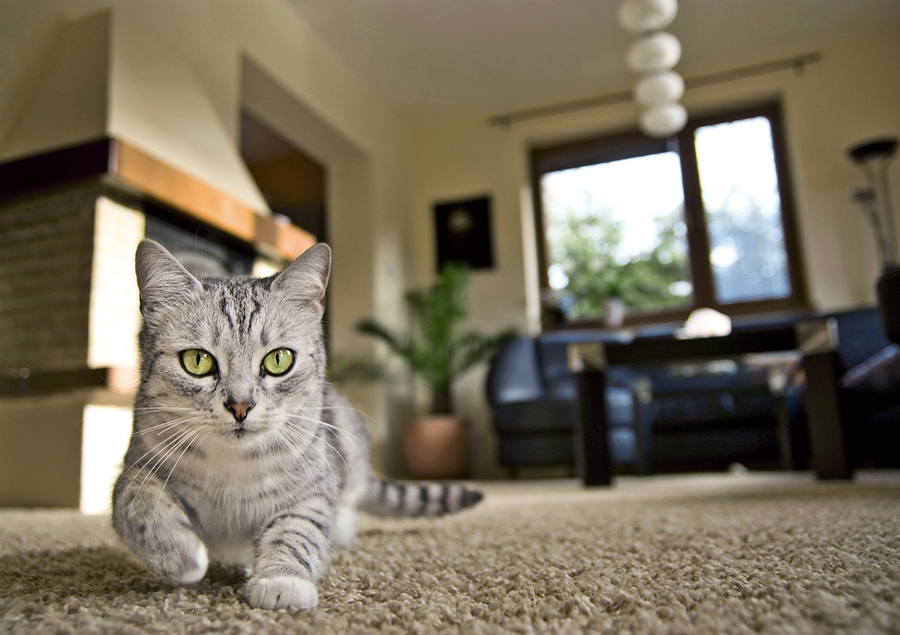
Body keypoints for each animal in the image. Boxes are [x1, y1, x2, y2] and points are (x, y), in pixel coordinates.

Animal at [110, 238, 486, 612]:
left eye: (279, 359)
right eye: (197, 361)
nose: (241, 405)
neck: (232, 473)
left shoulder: (311, 490)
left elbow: (296, 532)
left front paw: (281, 581)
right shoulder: (136, 465)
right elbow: (139, 504)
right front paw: (185, 559)